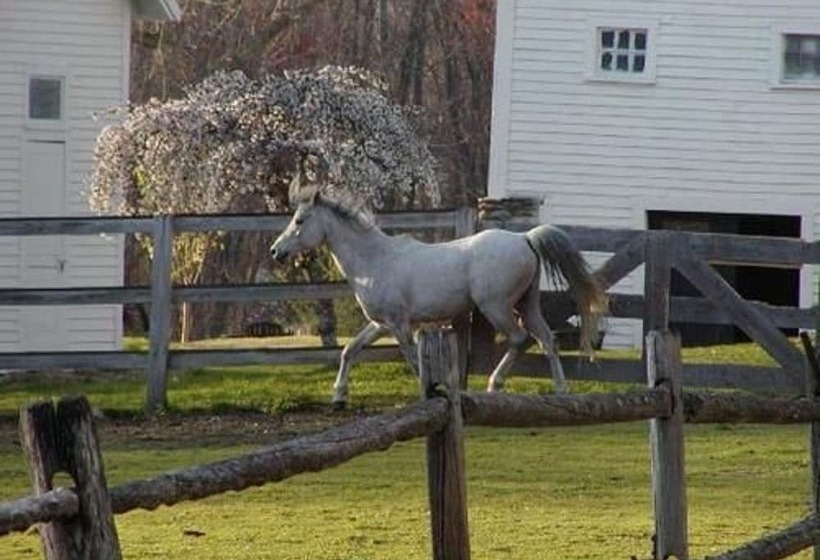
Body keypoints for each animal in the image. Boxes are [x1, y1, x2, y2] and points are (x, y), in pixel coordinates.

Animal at [270, 188, 607, 409]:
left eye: (299, 220)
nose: (275, 251)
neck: (375, 260)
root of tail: (524, 238)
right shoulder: (380, 324)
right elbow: (349, 350)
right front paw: (338, 397)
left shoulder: (399, 324)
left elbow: (413, 358)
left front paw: (429, 392)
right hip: (527, 305)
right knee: (548, 340)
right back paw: (561, 390)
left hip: (496, 307)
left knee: (519, 338)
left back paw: (494, 384)